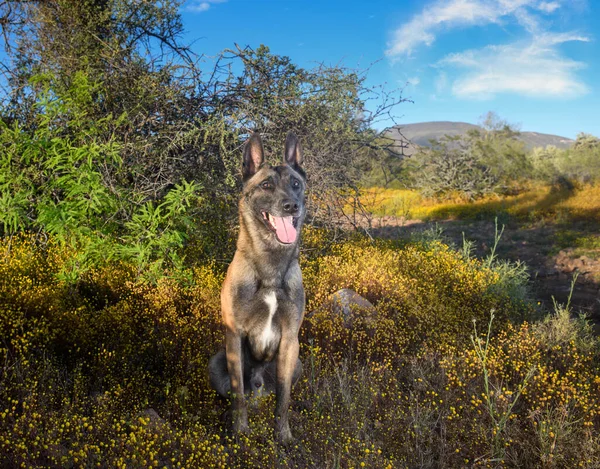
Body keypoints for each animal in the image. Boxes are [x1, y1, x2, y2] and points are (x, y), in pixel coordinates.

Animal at [210, 132, 304, 442]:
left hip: (298, 362)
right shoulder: (235, 336)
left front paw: (283, 435)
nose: (292, 206)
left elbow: (284, 399)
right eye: (266, 185)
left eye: (296, 184)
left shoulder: (290, 340)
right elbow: (238, 393)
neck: (270, 267)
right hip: (216, 361)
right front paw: (240, 431)